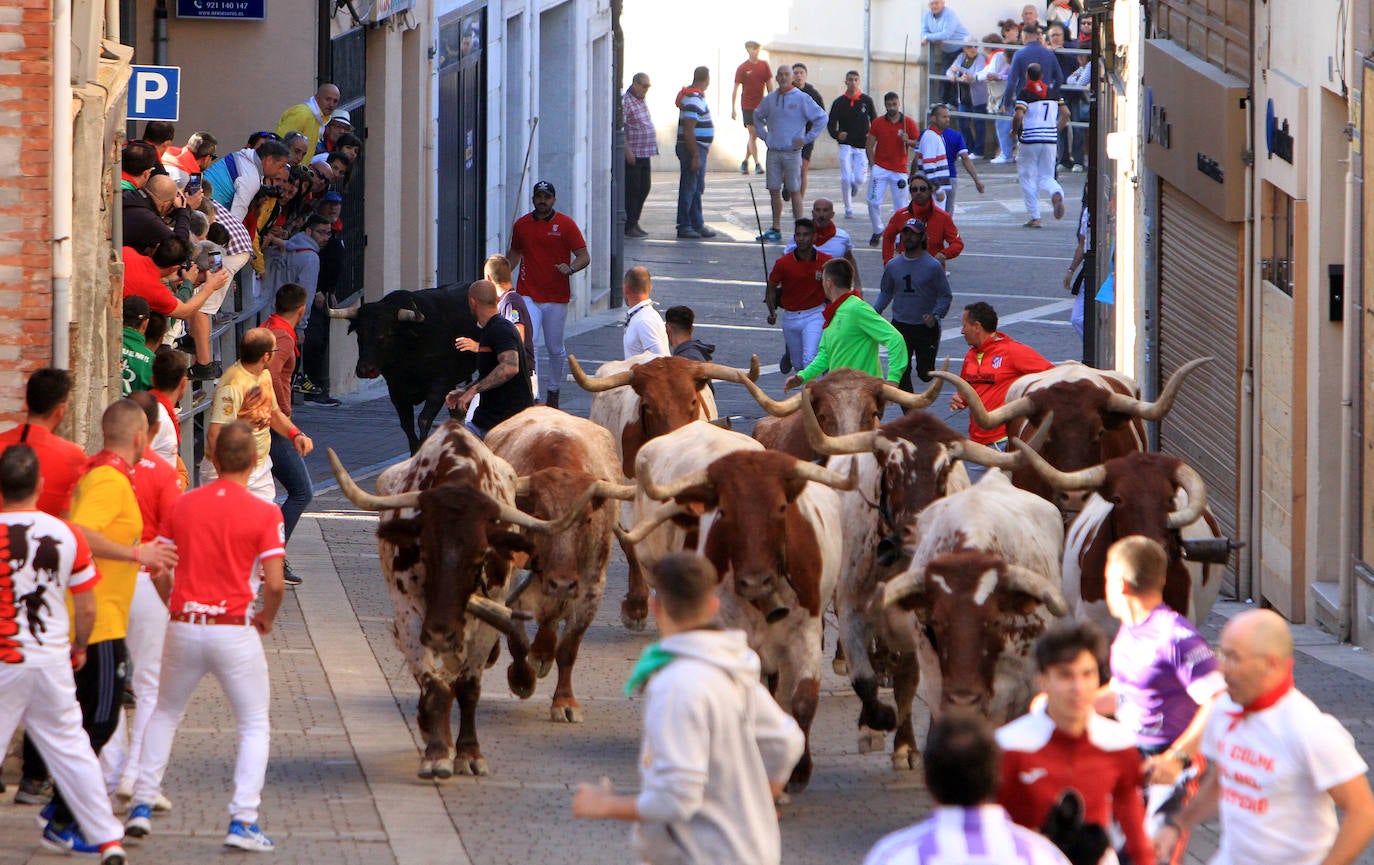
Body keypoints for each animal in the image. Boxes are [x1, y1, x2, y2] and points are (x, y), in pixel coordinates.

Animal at [336, 286, 478, 461]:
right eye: (359, 333)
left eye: (387, 333)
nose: (365, 369)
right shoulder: (396, 391)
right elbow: (406, 425)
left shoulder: (439, 385)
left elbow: (424, 419)